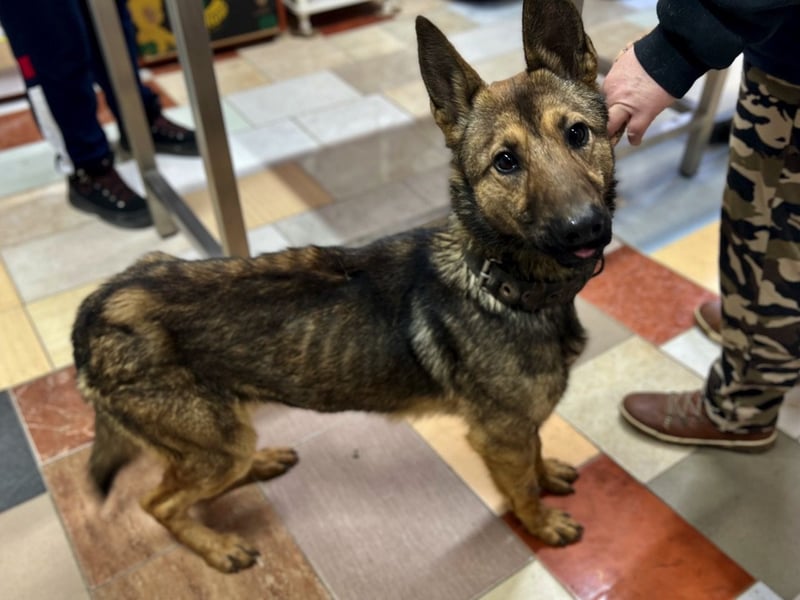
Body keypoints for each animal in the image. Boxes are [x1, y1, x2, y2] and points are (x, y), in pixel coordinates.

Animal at [72, 0, 615, 573]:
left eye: (578, 134)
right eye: (505, 162)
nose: (584, 228)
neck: (499, 278)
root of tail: (95, 308)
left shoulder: (520, 427)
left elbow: (536, 455)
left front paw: (547, 475)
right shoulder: (499, 435)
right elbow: (522, 486)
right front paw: (541, 523)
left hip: (221, 437)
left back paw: (260, 464)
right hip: (211, 446)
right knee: (159, 503)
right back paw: (218, 548)